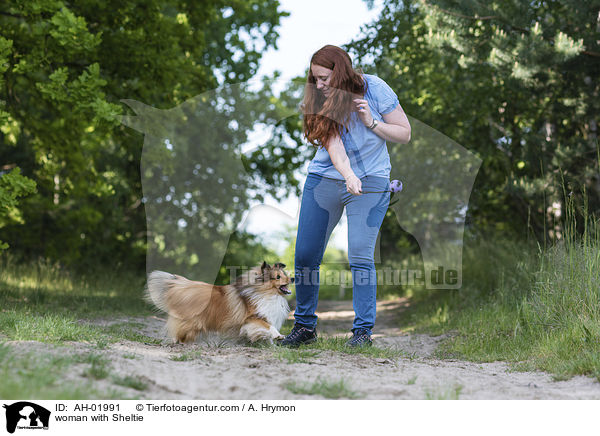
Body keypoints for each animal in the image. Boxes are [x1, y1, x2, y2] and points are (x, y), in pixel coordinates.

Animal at [146, 262, 294, 344]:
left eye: (284, 274)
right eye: (278, 277)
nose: (292, 278)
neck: (265, 293)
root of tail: (183, 285)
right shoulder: (252, 318)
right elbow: (269, 327)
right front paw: (278, 336)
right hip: (192, 322)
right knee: (180, 333)